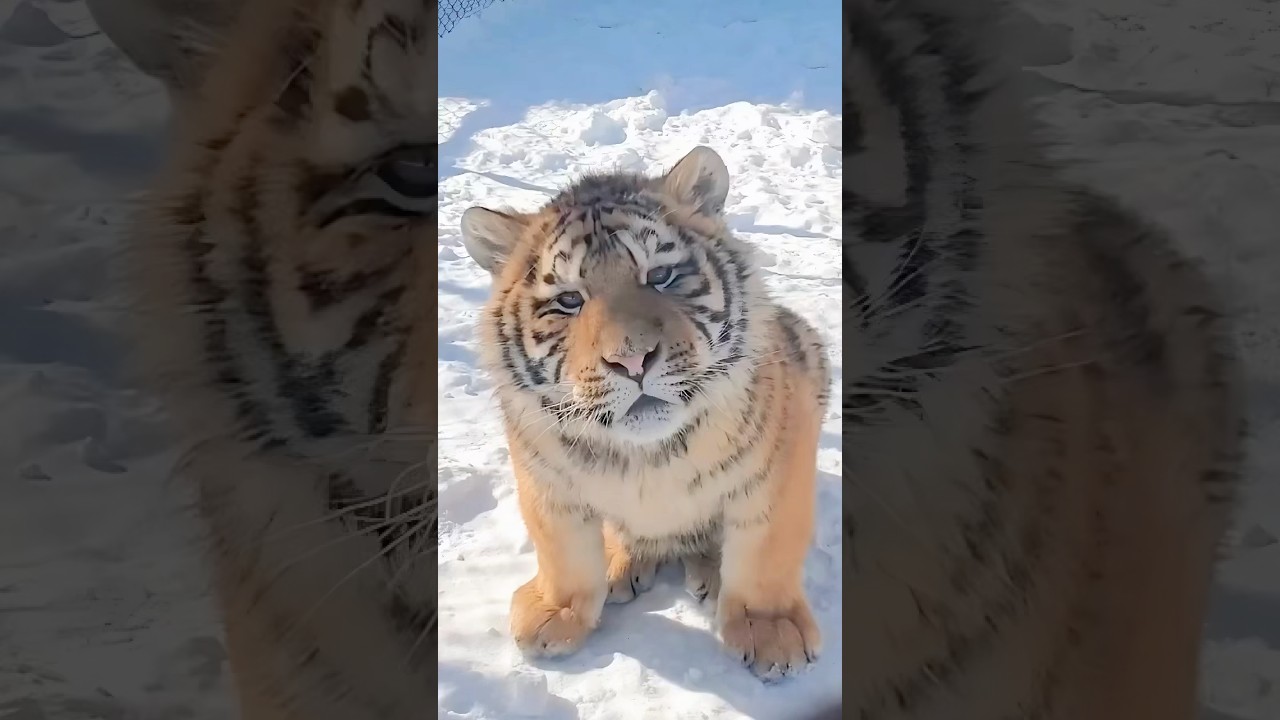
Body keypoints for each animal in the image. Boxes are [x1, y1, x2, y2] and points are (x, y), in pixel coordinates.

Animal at [459, 145, 832, 679]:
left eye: (661, 276)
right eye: (568, 300)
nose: (631, 360)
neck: (646, 455)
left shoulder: (779, 465)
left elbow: (768, 549)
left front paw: (772, 633)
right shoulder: (543, 476)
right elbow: (561, 550)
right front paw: (555, 612)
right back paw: (621, 564)